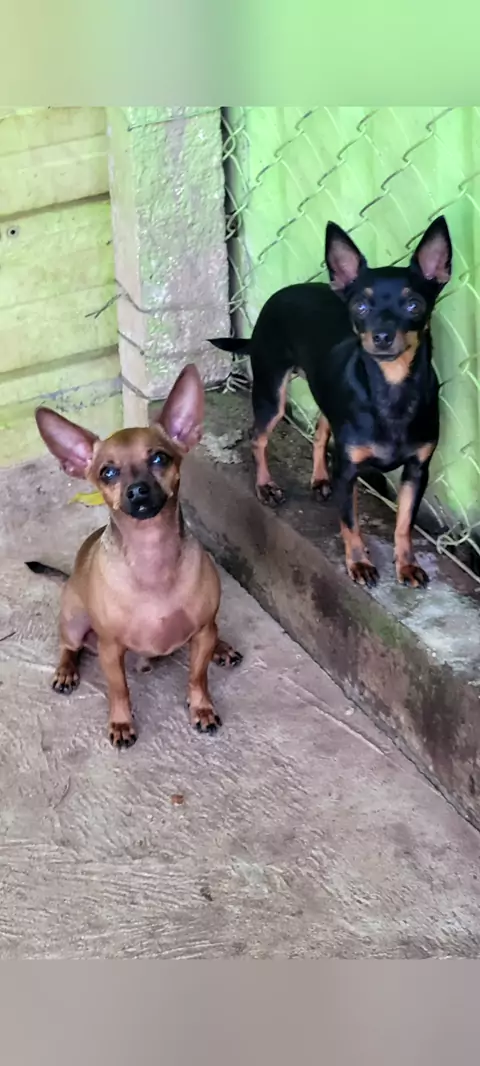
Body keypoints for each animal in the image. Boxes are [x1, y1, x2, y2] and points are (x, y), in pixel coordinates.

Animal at [27, 364, 242, 747]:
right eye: (107, 472)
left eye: (159, 458)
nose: (138, 490)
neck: (151, 556)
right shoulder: (111, 650)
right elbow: (119, 690)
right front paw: (121, 723)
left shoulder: (202, 630)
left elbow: (198, 677)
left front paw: (201, 708)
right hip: (74, 621)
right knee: (69, 645)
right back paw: (66, 671)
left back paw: (222, 647)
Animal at [210, 217, 452, 588]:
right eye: (361, 307)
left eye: (414, 305)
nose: (382, 336)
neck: (391, 387)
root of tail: (287, 291)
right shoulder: (348, 471)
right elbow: (349, 523)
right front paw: (359, 563)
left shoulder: (416, 471)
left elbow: (404, 523)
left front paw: (406, 564)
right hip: (271, 394)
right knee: (257, 437)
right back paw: (265, 486)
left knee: (321, 430)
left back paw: (320, 478)